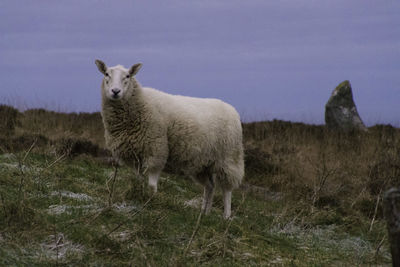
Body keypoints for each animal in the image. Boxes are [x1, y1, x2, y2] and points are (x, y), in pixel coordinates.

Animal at [94, 59, 244, 219]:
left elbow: (151, 184)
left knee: (227, 189)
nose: (115, 91)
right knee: (210, 186)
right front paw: (139, 196)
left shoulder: (156, 149)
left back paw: (226, 216)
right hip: (203, 162)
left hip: (228, 158)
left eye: (128, 76)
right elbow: (138, 180)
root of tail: (232, 109)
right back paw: (205, 213)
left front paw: (150, 201)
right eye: (106, 74)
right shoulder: (136, 155)